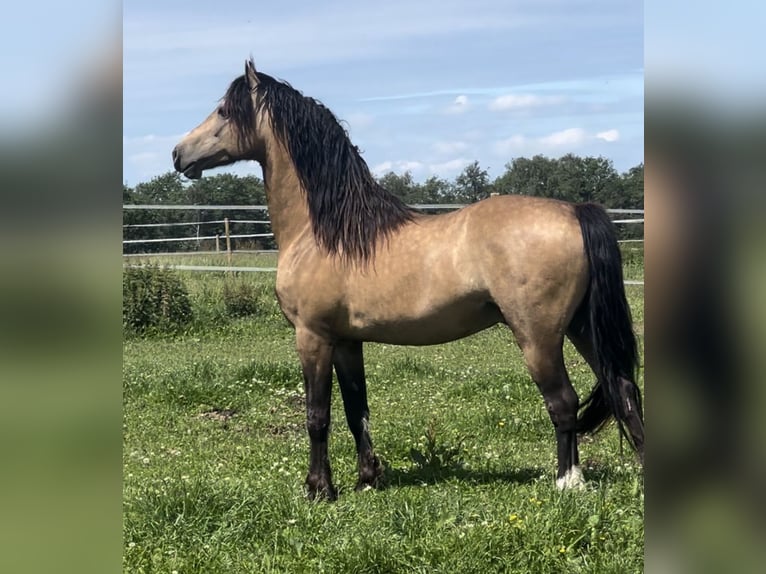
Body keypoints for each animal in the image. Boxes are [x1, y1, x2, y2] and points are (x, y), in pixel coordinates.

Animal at [172, 57, 640, 500]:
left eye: (223, 111)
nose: (178, 154)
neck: (327, 232)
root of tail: (574, 210)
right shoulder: (347, 341)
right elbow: (356, 410)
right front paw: (367, 479)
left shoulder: (312, 336)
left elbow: (317, 415)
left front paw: (319, 489)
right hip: (582, 329)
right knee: (624, 389)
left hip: (538, 337)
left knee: (563, 402)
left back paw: (568, 482)